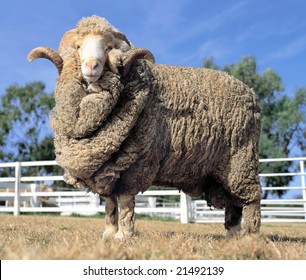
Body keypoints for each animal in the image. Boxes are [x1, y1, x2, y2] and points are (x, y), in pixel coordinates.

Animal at [27, 15, 260, 240]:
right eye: (78, 46)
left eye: (109, 47)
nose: (92, 66)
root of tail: (250, 92)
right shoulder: (108, 169)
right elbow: (110, 203)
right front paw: (109, 233)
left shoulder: (136, 165)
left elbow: (125, 201)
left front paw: (124, 235)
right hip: (225, 172)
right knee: (234, 203)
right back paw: (232, 235)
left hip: (242, 160)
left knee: (252, 199)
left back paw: (250, 236)